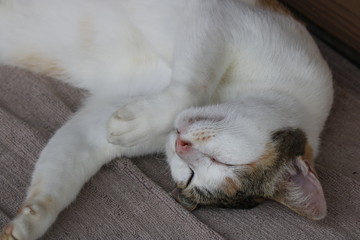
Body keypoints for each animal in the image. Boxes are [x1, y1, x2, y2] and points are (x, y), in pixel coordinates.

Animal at [0, 0, 334, 239]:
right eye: (226, 161)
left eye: (189, 177)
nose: (181, 144)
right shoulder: (222, 18)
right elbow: (191, 88)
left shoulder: (97, 123)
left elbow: (64, 164)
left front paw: (29, 221)